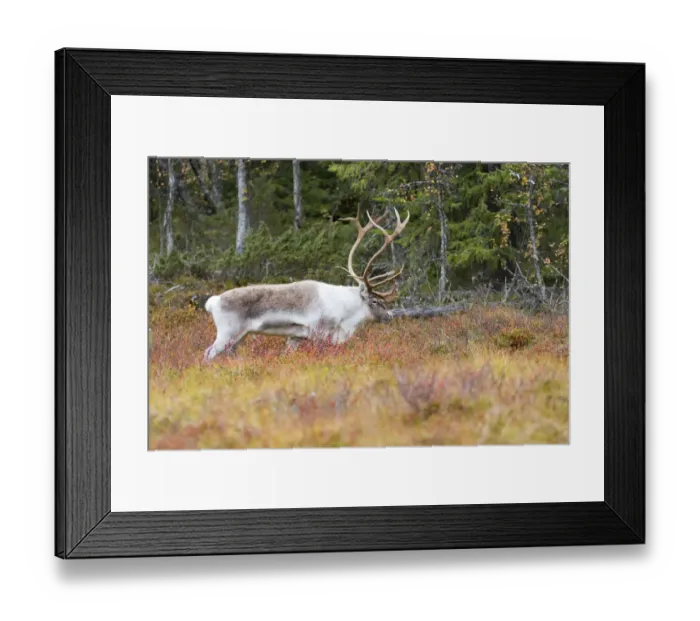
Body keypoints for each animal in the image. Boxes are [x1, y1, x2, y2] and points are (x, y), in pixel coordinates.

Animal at [202, 207, 410, 361]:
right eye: (375, 301)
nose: (390, 316)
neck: (345, 309)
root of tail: (213, 301)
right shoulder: (320, 333)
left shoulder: (296, 336)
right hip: (227, 333)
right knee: (208, 354)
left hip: (239, 337)